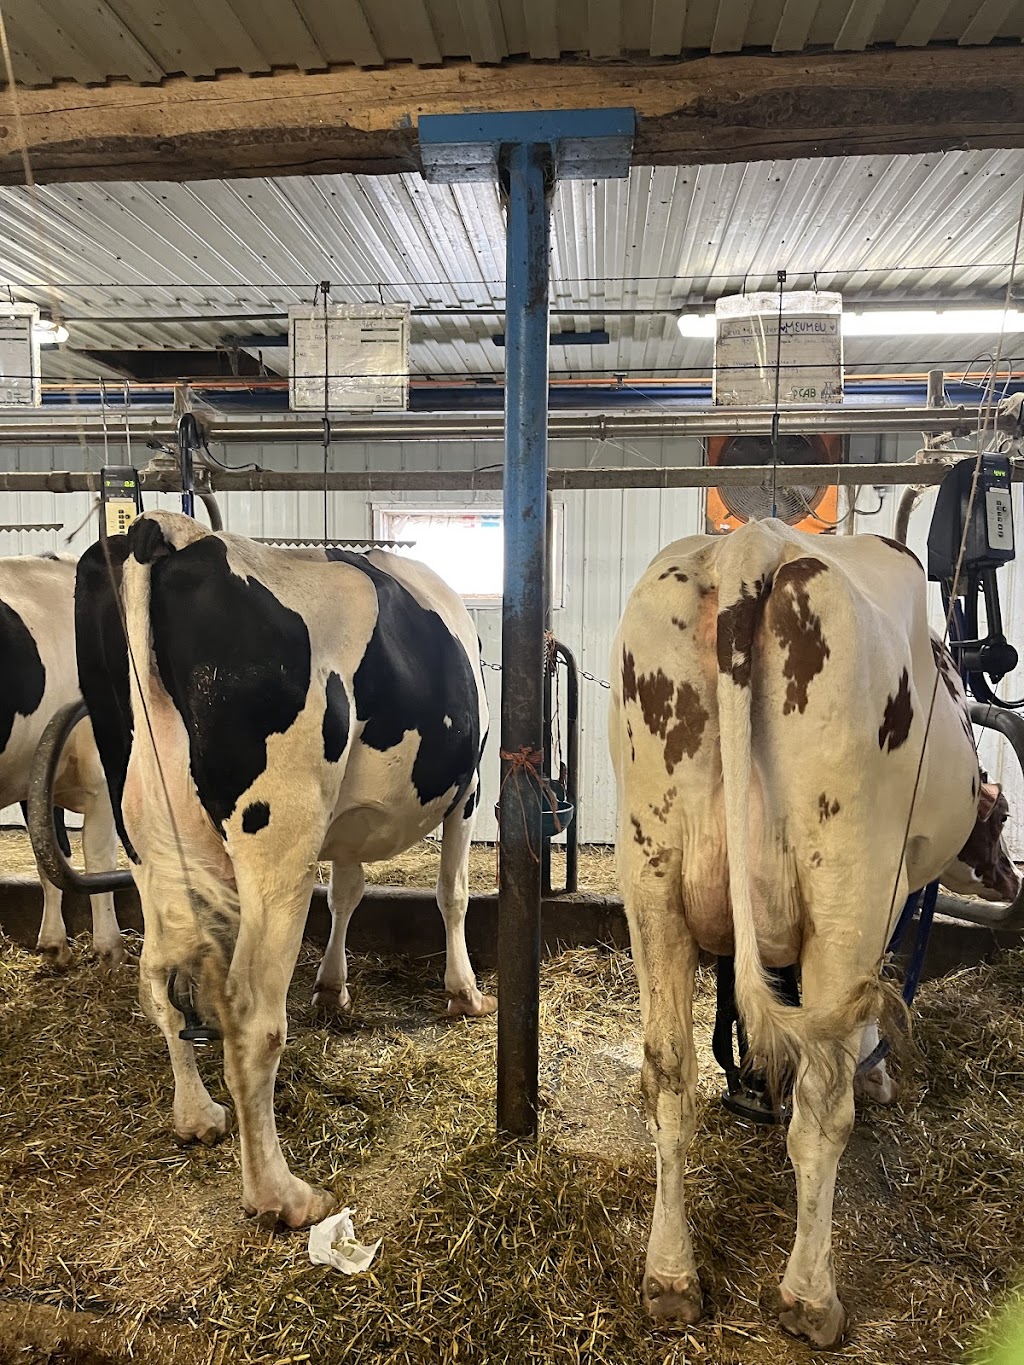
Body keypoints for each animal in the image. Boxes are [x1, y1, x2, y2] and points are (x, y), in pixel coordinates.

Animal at [0, 554, 122, 971]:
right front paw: (110, 949)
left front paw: (54, 945)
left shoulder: (34, 776)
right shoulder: (99, 775)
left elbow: (52, 857)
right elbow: (99, 859)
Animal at [75, 510, 494, 1228]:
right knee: (251, 1012)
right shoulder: (467, 788)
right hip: (279, 834)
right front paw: (464, 993)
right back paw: (282, 1195)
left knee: (158, 978)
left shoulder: (345, 818)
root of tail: (166, 530)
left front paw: (333, 988)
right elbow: (452, 893)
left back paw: (197, 1115)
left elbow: (348, 892)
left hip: (145, 838)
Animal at [608, 515, 1021, 1348]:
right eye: (998, 819)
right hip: (845, 889)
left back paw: (670, 1278)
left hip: (651, 877)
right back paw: (810, 1295)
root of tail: (751, 545)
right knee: (824, 1102)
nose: (1010, 878)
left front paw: (756, 1083)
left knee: (667, 1073)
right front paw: (878, 1073)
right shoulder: (894, 894)